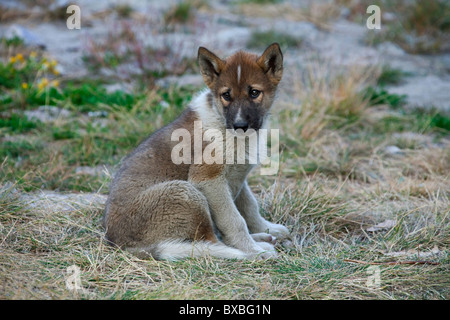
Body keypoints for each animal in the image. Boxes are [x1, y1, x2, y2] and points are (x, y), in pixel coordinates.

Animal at [103, 43, 288, 260]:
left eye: (254, 93)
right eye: (226, 95)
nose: (239, 125)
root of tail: (119, 244)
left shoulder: (237, 179)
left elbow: (249, 207)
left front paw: (266, 228)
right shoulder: (208, 180)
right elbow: (234, 221)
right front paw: (251, 249)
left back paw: (263, 238)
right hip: (185, 192)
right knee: (210, 242)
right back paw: (255, 250)